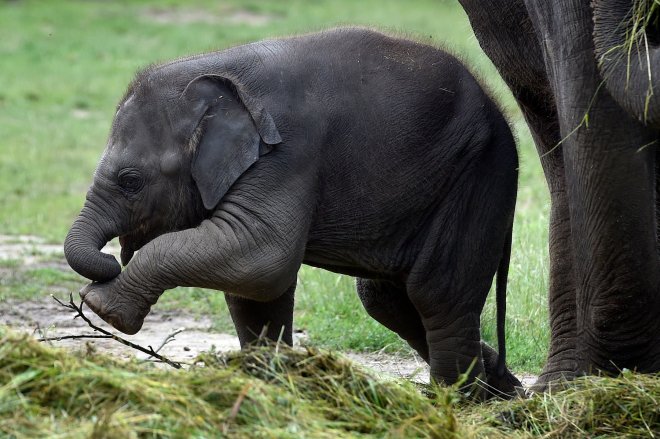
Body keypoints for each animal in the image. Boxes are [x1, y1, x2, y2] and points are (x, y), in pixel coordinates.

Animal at [65, 28, 520, 398]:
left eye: (131, 181)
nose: (109, 262)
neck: (215, 70)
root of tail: (500, 112)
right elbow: (255, 287)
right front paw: (267, 382)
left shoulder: (288, 152)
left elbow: (263, 258)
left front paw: (101, 306)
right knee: (387, 297)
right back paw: (504, 391)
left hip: (477, 174)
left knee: (437, 295)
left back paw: (456, 405)